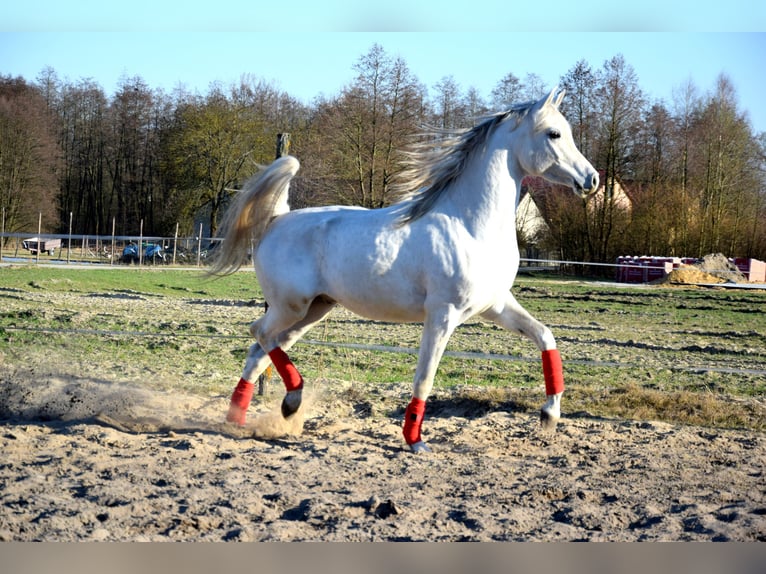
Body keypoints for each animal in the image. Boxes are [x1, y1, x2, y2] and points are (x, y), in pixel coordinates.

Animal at [210, 87, 599, 453]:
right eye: (553, 134)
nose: (591, 180)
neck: (470, 225)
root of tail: (277, 219)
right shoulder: (443, 314)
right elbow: (424, 377)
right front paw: (415, 441)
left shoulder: (496, 306)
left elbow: (545, 336)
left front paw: (549, 415)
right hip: (291, 306)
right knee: (258, 332)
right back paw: (289, 400)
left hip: (313, 311)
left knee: (260, 351)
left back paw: (248, 416)